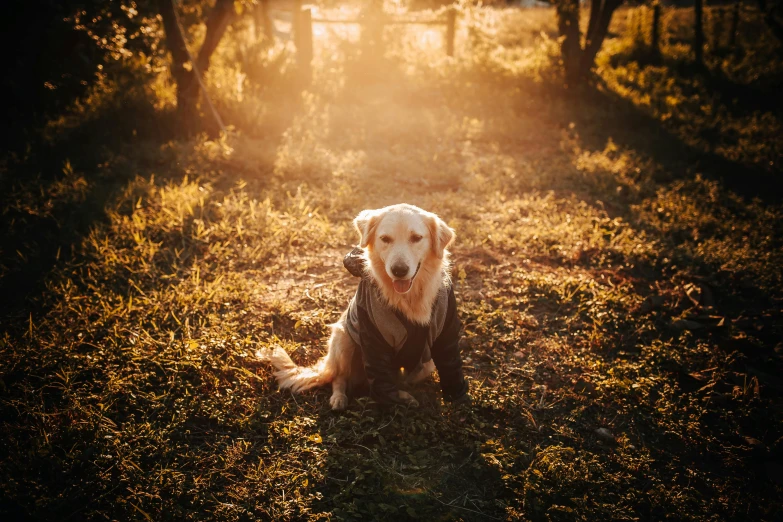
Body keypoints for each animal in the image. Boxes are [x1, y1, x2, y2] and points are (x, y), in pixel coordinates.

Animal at [258, 203, 468, 410]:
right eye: (385, 239)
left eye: (416, 238)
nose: (399, 271)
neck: (409, 296)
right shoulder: (372, 334)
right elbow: (382, 380)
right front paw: (392, 401)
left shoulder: (445, 334)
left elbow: (446, 367)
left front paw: (457, 397)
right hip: (343, 339)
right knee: (339, 378)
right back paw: (340, 398)